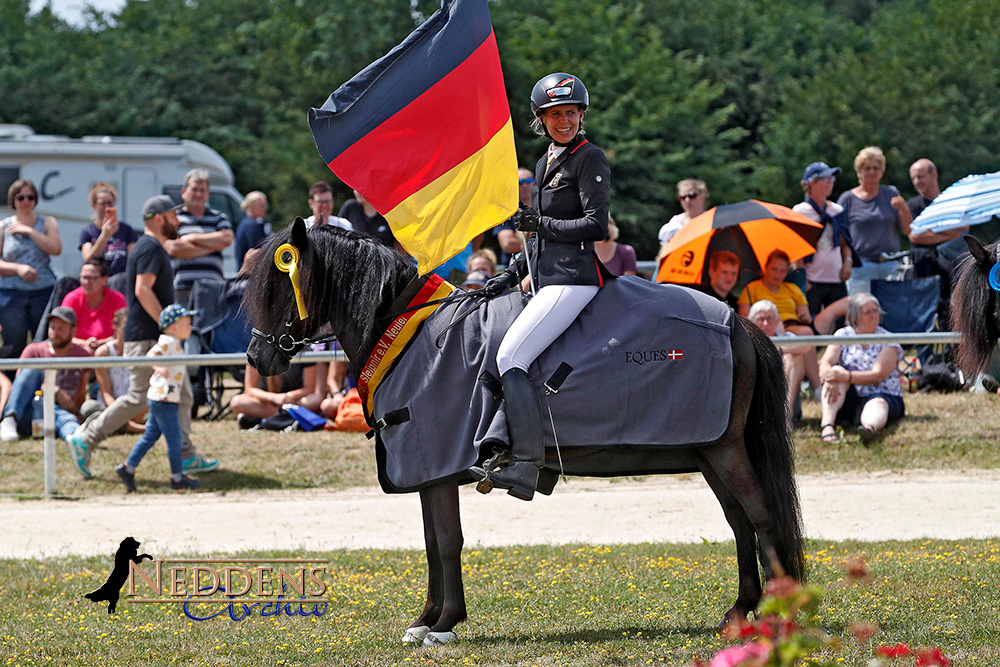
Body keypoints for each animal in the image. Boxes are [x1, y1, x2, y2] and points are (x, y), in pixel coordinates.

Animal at [244, 220, 804, 648]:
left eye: (282, 285)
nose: (257, 357)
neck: (409, 334)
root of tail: (737, 323)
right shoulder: (428, 471)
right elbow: (430, 541)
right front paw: (425, 620)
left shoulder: (438, 465)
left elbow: (447, 541)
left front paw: (445, 624)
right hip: (710, 454)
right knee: (740, 523)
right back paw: (740, 610)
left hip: (725, 451)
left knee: (760, 517)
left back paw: (780, 613)